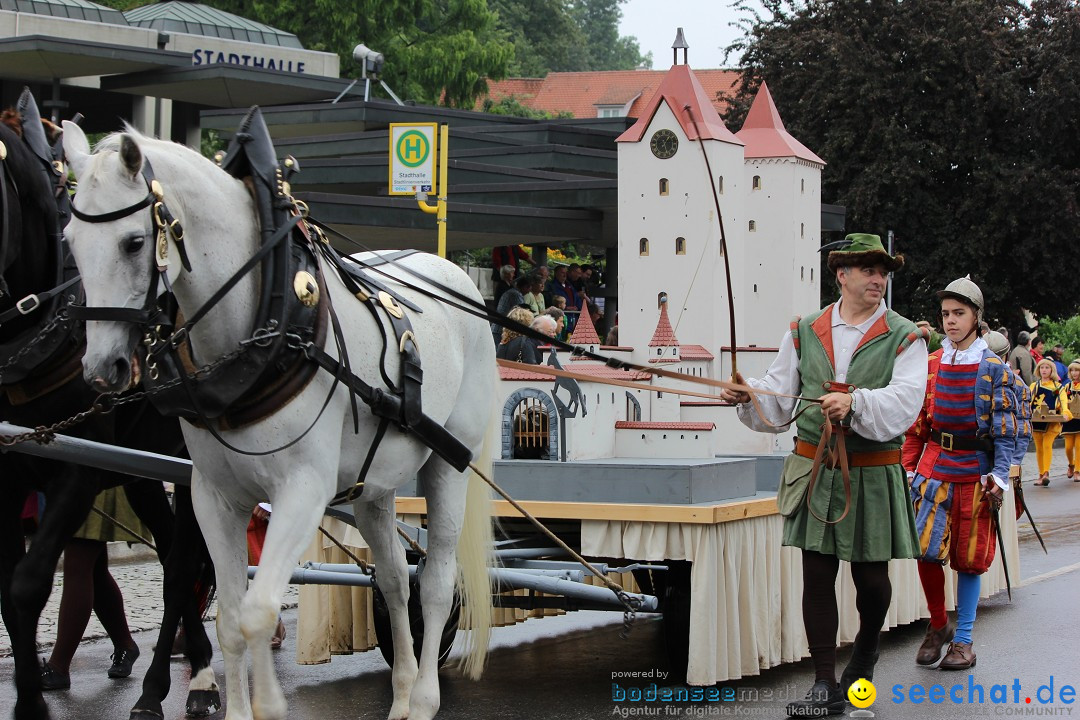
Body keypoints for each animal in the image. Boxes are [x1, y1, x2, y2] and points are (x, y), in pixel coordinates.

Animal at [0, 95, 219, 720]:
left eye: (134, 244)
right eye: (72, 238)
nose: (104, 372)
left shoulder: (78, 471)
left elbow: (29, 584)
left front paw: (31, 704)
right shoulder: (5, 474)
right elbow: (7, 594)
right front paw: (30, 691)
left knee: (182, 564)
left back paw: (167, 685)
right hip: (146, 471)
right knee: (172, 554)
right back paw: (192, 665)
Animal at [63, 122, 494, 720]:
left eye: (132, 242)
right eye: (70, 242)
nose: (102, 369)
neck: (267, 327)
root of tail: (456, 275)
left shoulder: (301, 492)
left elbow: (259, 611)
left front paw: (268, 705)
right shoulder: (214, 498)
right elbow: (229, 619)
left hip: (449, 466)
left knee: (434, 581)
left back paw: (426, 697)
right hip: (374, 486)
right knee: (393, 580)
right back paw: (403, 692)